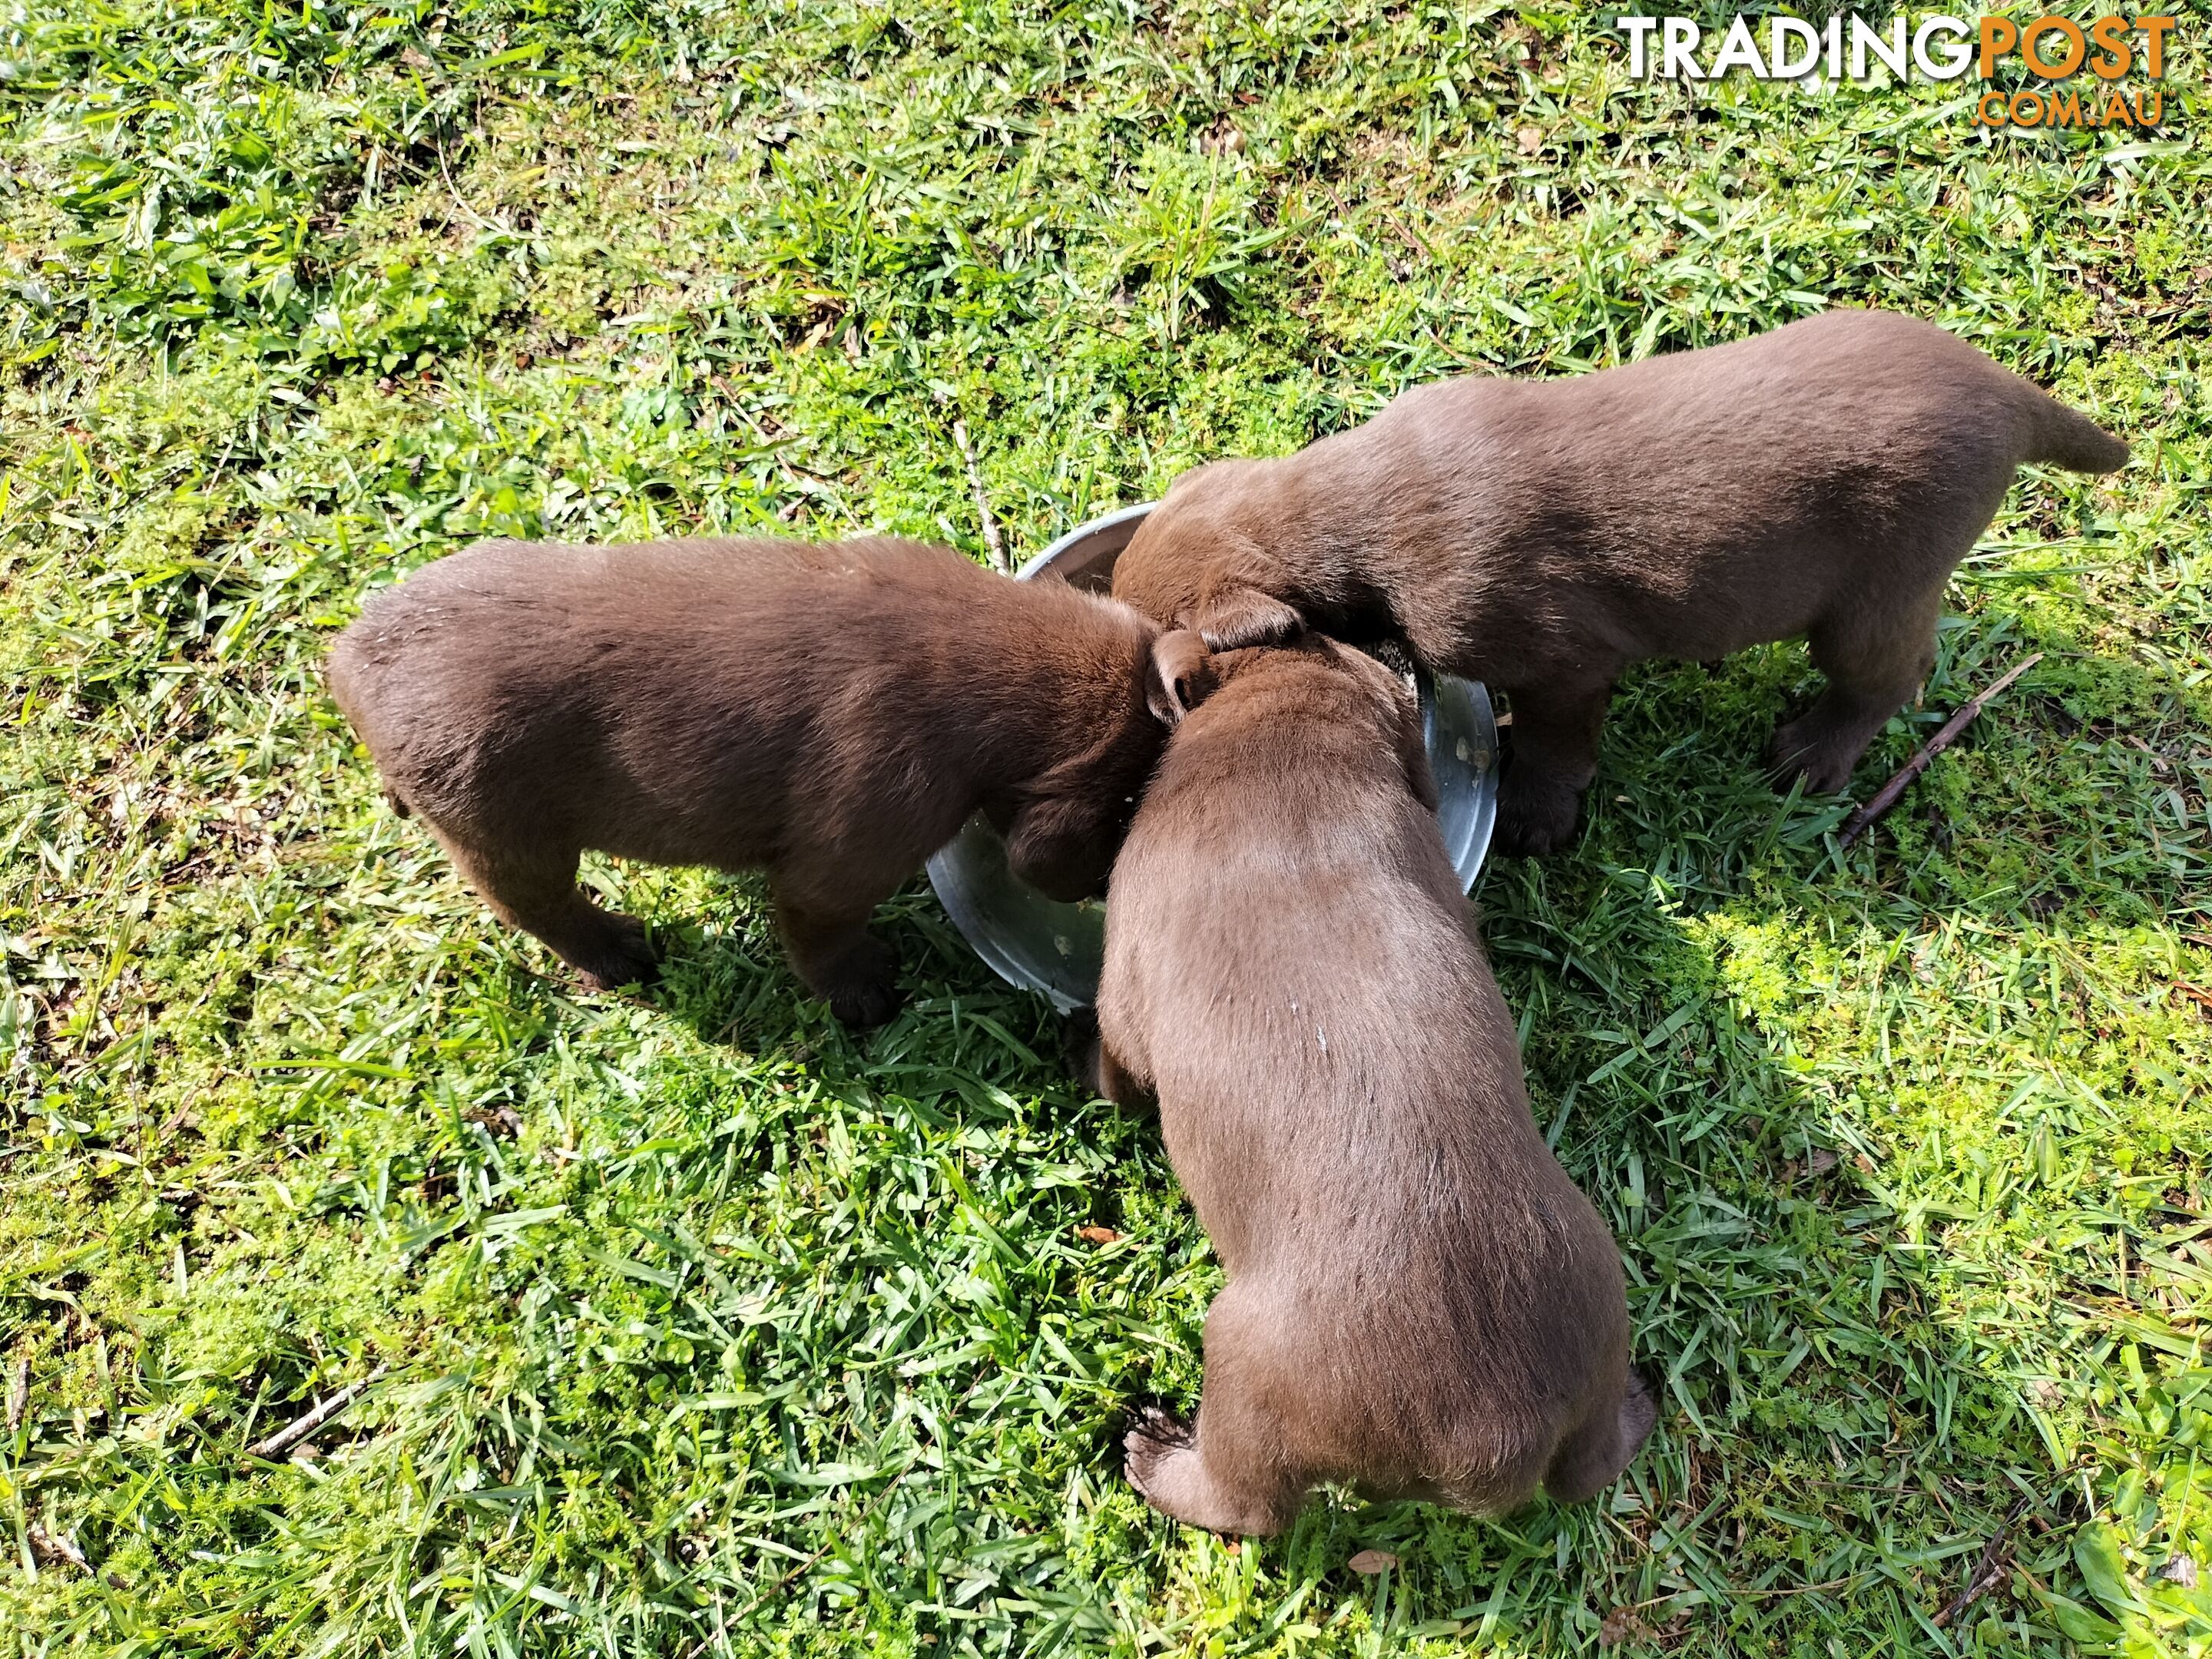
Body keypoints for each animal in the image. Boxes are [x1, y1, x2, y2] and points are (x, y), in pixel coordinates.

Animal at [329, 539, 1185, 1026]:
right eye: (1124, 808)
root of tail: (348, 659)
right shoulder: (844, 862)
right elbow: (823, 937)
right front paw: (863, 994)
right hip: (506, 833)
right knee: (538, 909)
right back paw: (617, 953)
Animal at [1097, 632, 1654, 1530]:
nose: (1396, 646)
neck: (1279, 747)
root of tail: (1494, 1436)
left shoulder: (1119, 1001)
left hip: (1238, 1371)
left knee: (1247, 1507)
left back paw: (1154, 1456)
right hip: (1600, 1309)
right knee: (1596, 1463)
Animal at [1114, 307, 2132, 858]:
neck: (1348, 509)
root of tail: (2010, 394)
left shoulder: (1561, 660)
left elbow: (1557, 748)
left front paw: (1533, 819)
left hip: (1876, 593)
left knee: (1890, 678)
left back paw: (1813, 756)